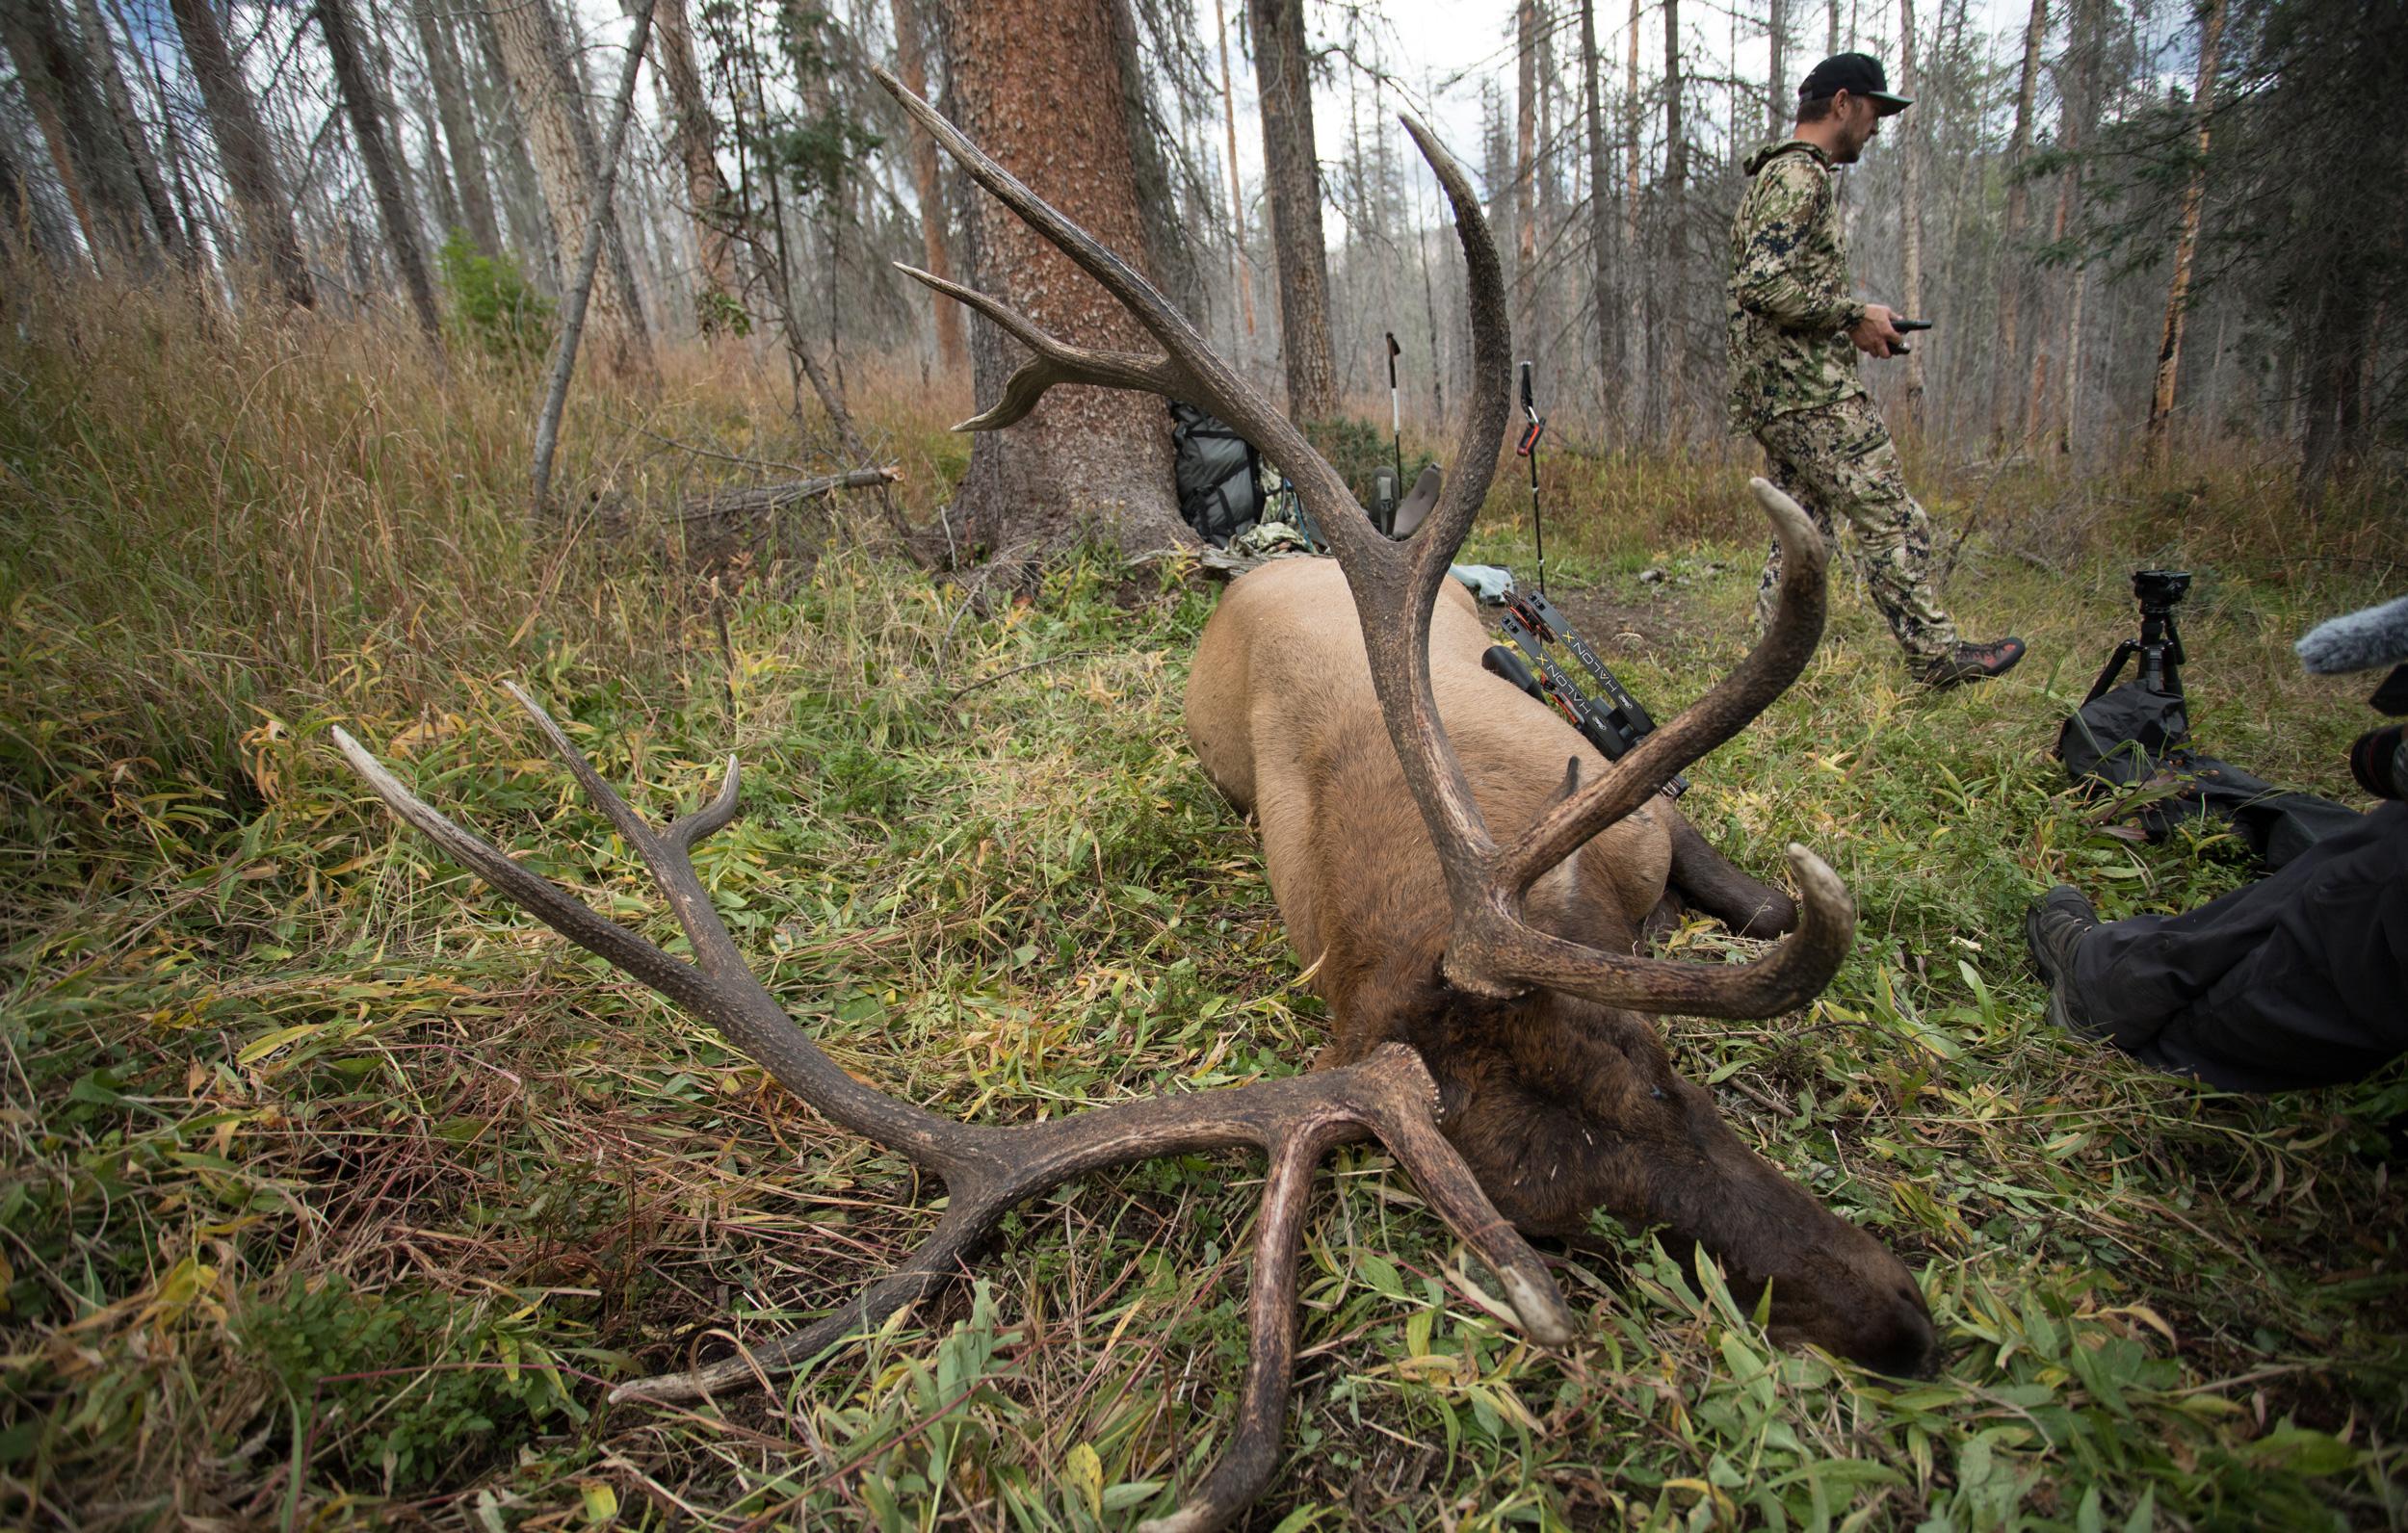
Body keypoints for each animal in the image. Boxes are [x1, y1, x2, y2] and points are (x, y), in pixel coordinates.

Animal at [328, 71, 1931, 1533]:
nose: (1903, 1321)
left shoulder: (1625, 809)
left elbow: (1746, 879)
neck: (1437, 885)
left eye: (1661, 1070)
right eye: (1566, 1217)